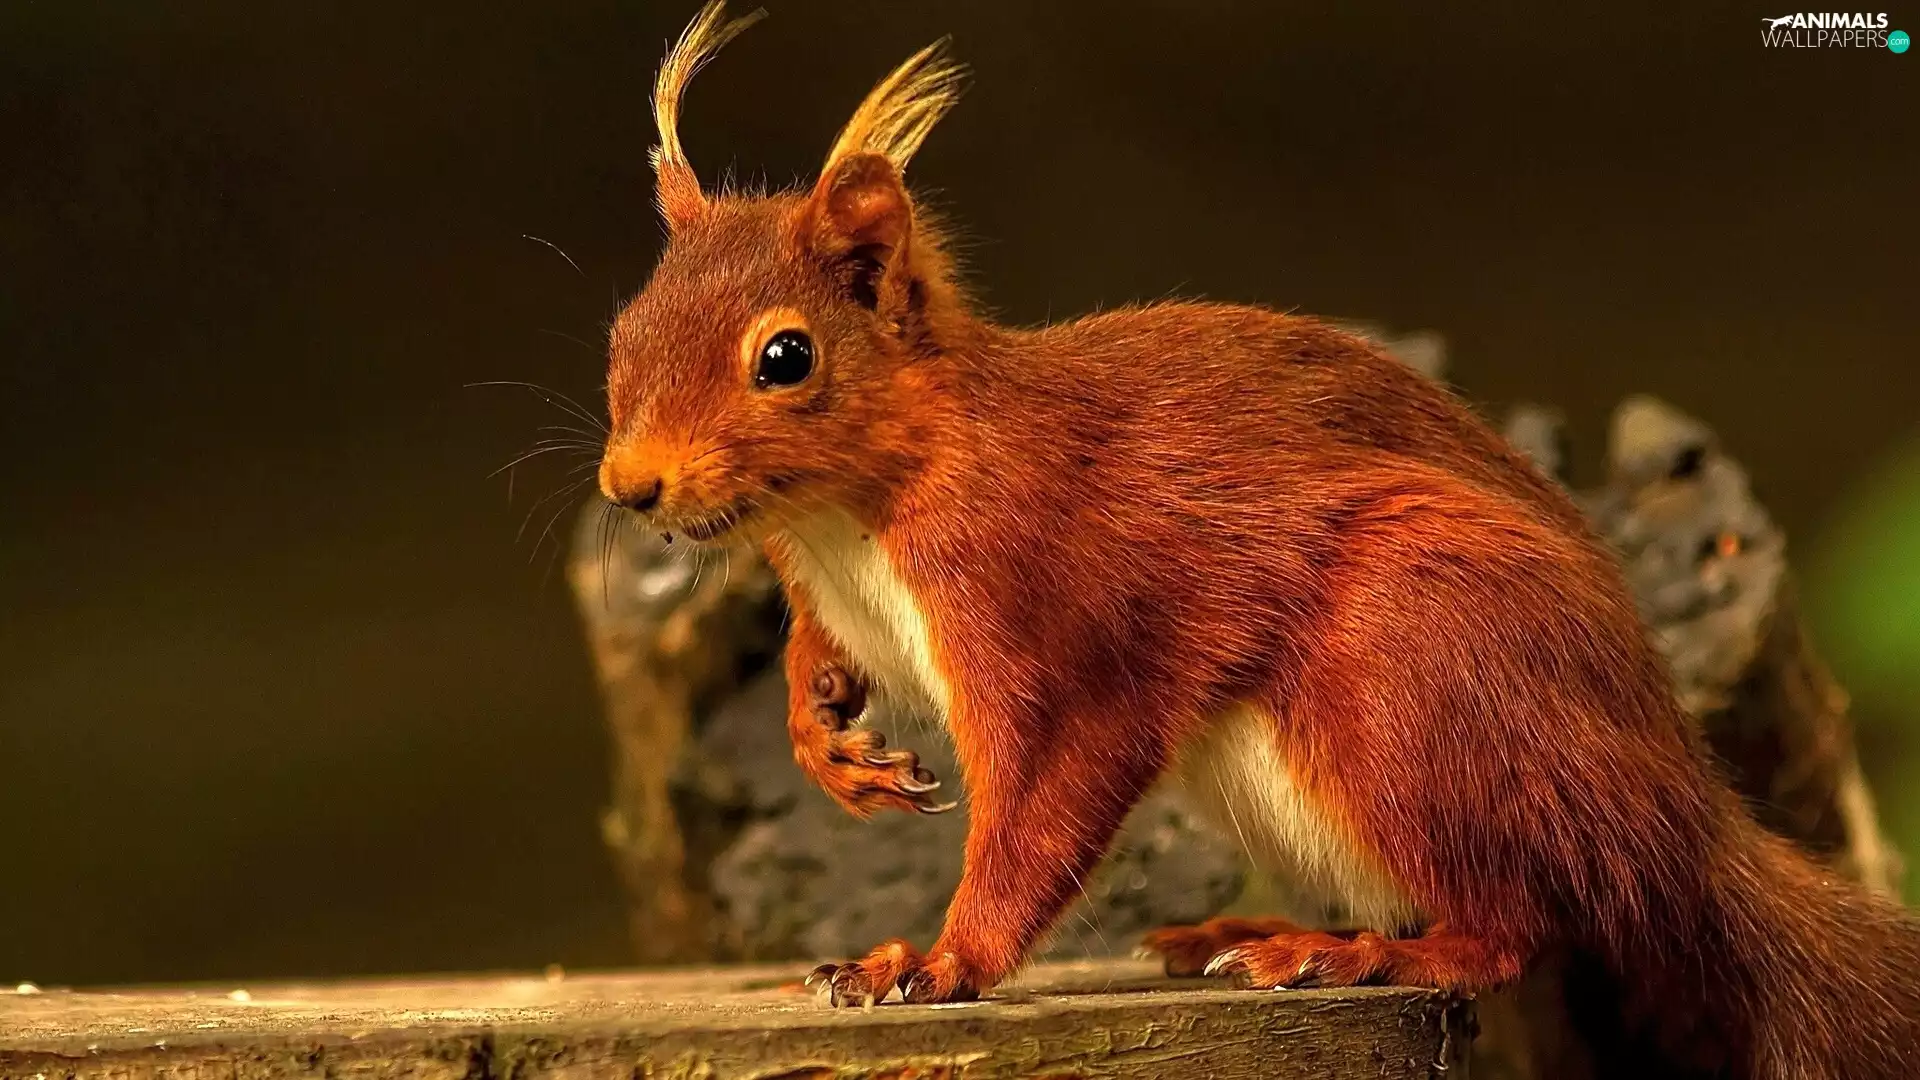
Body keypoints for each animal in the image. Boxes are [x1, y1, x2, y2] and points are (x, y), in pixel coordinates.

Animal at [595, 5, 1920, 1075]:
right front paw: (826, 742)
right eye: (624, 329)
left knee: (1515, 925)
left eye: (786, 357)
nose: (629, 485)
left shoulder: (1055, 609)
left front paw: (934, 963)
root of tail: (1682, 813)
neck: (846, 521)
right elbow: (817, 661)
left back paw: (1352, 958)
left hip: (1419, 661)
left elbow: (1043, 809)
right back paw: (1261, 932)